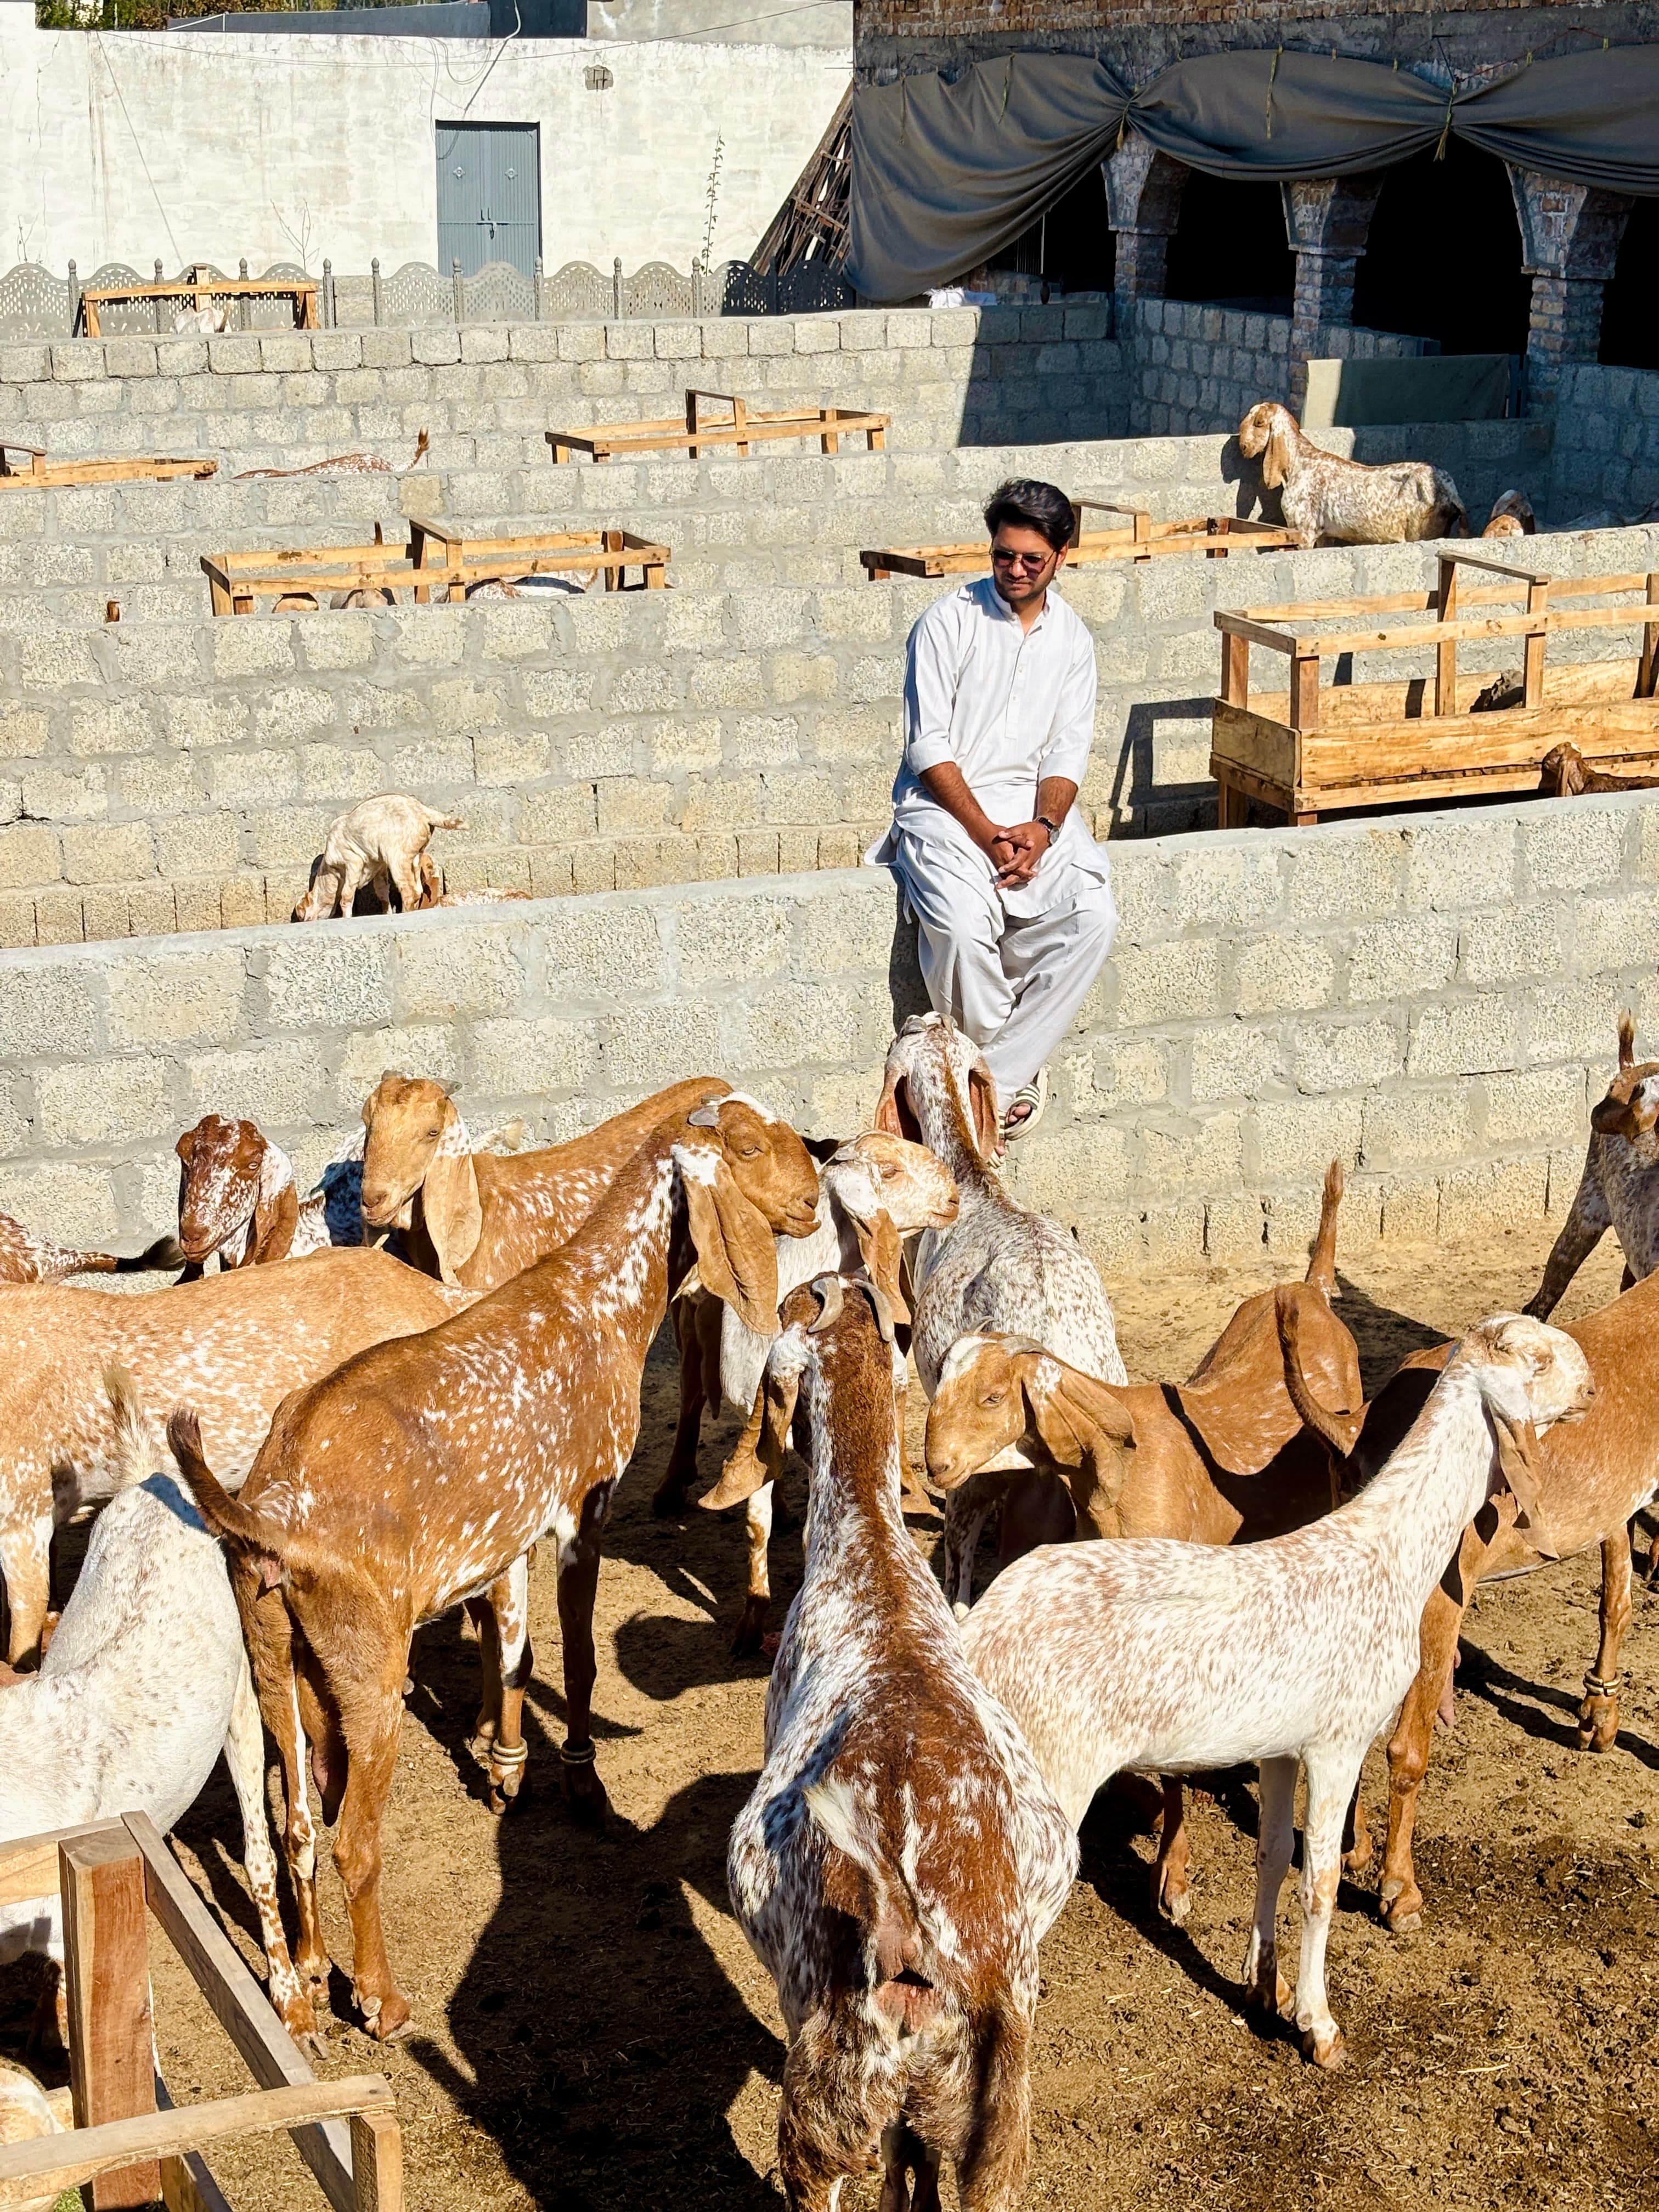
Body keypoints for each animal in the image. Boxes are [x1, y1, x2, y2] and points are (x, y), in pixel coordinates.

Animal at [168, 1094, 819, 2043]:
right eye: (742, 1144)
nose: (813, 1196)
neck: (598, 1304)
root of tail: (269, 1512)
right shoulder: (583, 1510)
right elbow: (578, 1657)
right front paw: (584, 1786)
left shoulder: (507, 1536)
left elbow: (511, 1645)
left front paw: (506, 1766)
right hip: (368, 1664)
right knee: (353, 1837)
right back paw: (381, 1999)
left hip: (278, 1655)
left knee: (296, 1821)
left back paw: (314, 1973)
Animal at [291, 794, 465, 922]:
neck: (331, 874)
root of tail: (423, 811)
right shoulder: (379, 866)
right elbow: (382, 892)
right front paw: (386, 913)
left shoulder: (353, 861)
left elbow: (347, 895)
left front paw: (347, 918)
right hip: (415, 856)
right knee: (417, 889)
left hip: (397, 856)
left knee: (409, 891)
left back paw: (405, 913)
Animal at [961, 1313, 1593, 2067]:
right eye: (1538, 1360)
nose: (1592, 1388)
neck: (1389, 1552)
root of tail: (976, 1636)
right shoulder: (1338, 1742)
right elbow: (1319, 1882)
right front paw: (1320, 2026)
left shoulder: (1280, 1749)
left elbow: (1272, 1858)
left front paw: (1265, 1988)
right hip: (1043, 1792)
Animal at [1236, 402, 1466, 548]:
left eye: (1258, 423)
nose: (1243, 447)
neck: (1299, 463)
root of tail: (1450, 492)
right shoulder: (1325, 534)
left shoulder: (1303, 530)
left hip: (1422, 532)